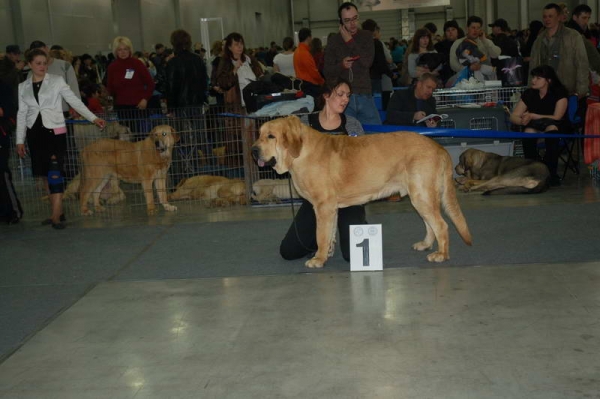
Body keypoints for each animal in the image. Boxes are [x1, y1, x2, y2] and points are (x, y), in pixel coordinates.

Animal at [251, 117, 472, 270]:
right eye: (259, 134)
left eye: (271, 136)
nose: (253, 150)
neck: (300, 152)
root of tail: (439, 147)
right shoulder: (330, 208)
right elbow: (329, 233)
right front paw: (327, 253)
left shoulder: (323, 206)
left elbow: (320, 234)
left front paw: (318, 259)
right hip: (419, 196)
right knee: (430, 223)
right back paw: (425, 245)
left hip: (422, 195)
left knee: (441, 225)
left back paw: (441, 255)